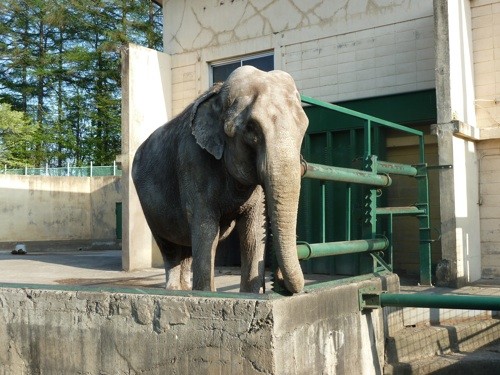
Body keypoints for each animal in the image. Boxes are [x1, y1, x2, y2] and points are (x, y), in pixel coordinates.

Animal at [134, 66, 308, 294]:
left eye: (304, 128)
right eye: (251, 129)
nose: (277, 280)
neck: (218, 95)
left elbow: (253, 231)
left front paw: (250, 294)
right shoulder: (193, 161)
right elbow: (206, 229)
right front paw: (205, 293)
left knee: (186, 247)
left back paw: (184, 288)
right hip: (149, 208)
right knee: (169, 246)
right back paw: (174, 290)